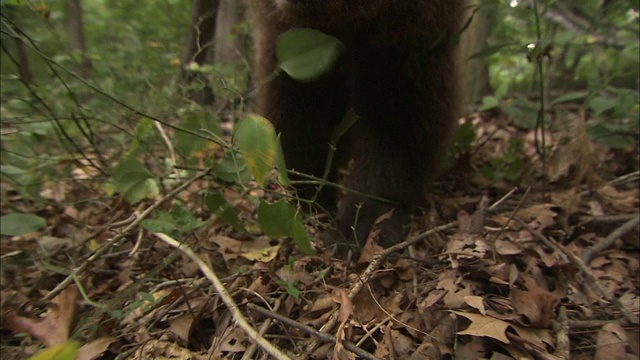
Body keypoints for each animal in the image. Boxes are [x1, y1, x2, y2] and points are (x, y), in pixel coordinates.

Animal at [248, 0, 462, 255]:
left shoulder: (409, 43)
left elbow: (398, 128)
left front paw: (360, 226)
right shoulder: (291, 43)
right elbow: (301, 116)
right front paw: (312, 197)